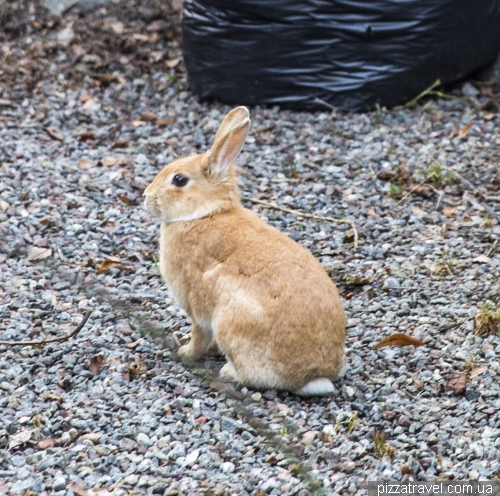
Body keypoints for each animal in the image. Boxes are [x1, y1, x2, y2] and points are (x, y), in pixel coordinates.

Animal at [145, 105, 346, 396]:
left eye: (179, 180)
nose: (146, 197)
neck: (205, 213)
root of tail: (313, 376)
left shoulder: (196, 307)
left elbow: (198, 334)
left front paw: (185, 352)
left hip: (231, 321)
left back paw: (229, 372)